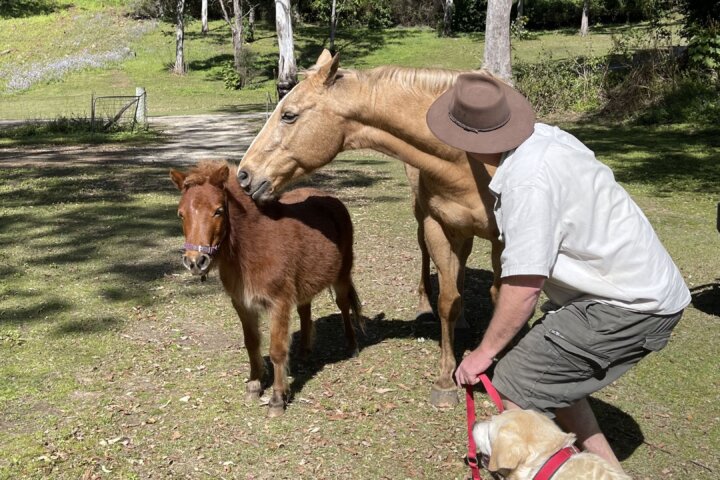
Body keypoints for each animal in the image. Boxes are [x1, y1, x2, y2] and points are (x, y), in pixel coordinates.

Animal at [171, 159, 362, 414]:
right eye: (181, 214)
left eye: (218, 211)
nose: (195, 262)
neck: (251, 247)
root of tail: (331, 199)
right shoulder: (243, 304)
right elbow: (252, 344)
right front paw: (254, 386)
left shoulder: (278, 303)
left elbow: (277, 350)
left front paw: (278, 398)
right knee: (305, 310)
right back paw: (304, 353)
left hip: (341, 276)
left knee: (343, 306)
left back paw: (352, 346)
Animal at [238, 50, 506, 406]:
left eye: (289, 115)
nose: (243, 174)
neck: (467, 159)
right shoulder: (437, 225)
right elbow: (448, 301)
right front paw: (445, 381)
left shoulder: (508, 238)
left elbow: (500, 297)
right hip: (430, 220)